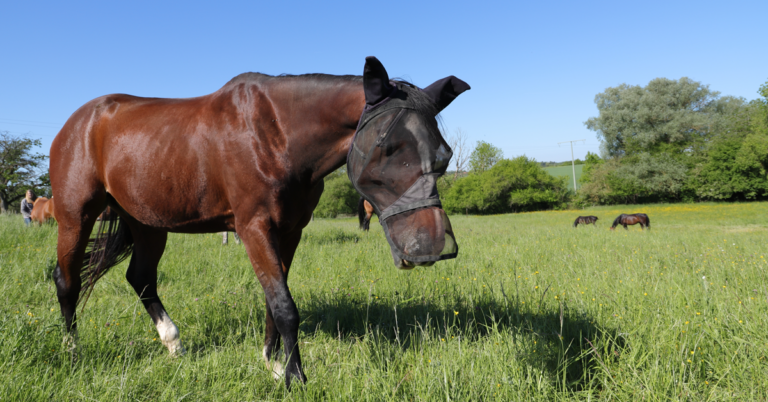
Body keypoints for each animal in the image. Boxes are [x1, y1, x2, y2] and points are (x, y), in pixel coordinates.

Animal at [49, 56, 468, 388]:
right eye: (388, 146)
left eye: (444, 155)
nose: (432, 247)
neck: (275, 134)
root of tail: (80, 121)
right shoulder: (254, 228)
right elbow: (284, 305)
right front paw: (296, 378)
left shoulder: (290, 231)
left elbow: (274, 300)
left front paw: (273, 364)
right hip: (76, 216)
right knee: (67, 281)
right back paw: (72, 352)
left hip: (148, 224)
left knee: (141, 278)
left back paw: (174, 343)